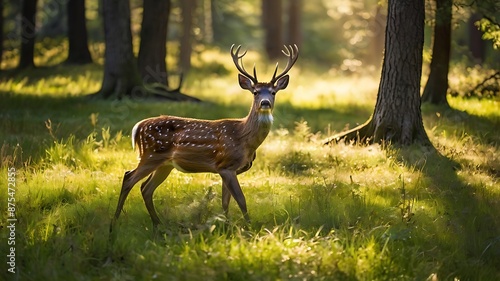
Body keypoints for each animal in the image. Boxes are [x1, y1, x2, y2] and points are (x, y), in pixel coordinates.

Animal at [111, 43, 298, 228]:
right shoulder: (226, 165)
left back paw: (158, 224)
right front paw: (248, 227)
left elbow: (226, 202)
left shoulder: (229, 170)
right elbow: (241, 199)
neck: (245, 139)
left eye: (273, 92)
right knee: (129, 177)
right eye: (255, 92)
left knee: (146, 188)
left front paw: (227, 226)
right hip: (150, 155)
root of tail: (138, 127)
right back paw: (114, 224)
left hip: (165, 164)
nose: (265, 103)